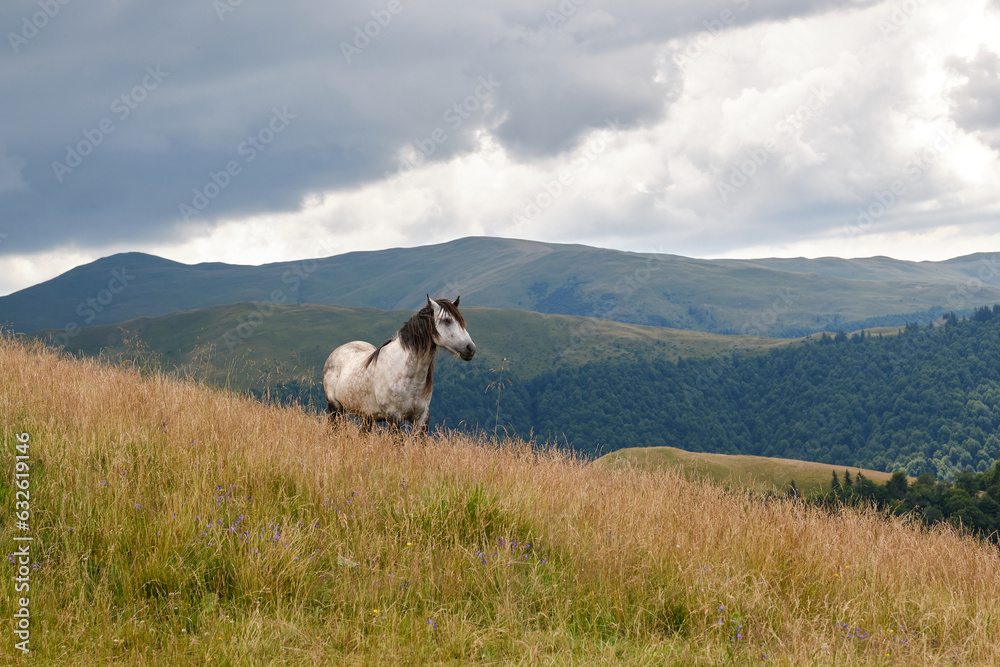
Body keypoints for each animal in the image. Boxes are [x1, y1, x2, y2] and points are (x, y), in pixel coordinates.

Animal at [322, 296, 476, 434]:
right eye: (447, 320)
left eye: (461, 321)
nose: (470, 348)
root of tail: (336, 351)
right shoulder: (393, 417)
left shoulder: (422, 418)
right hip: (335, 408)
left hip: (367, 417)